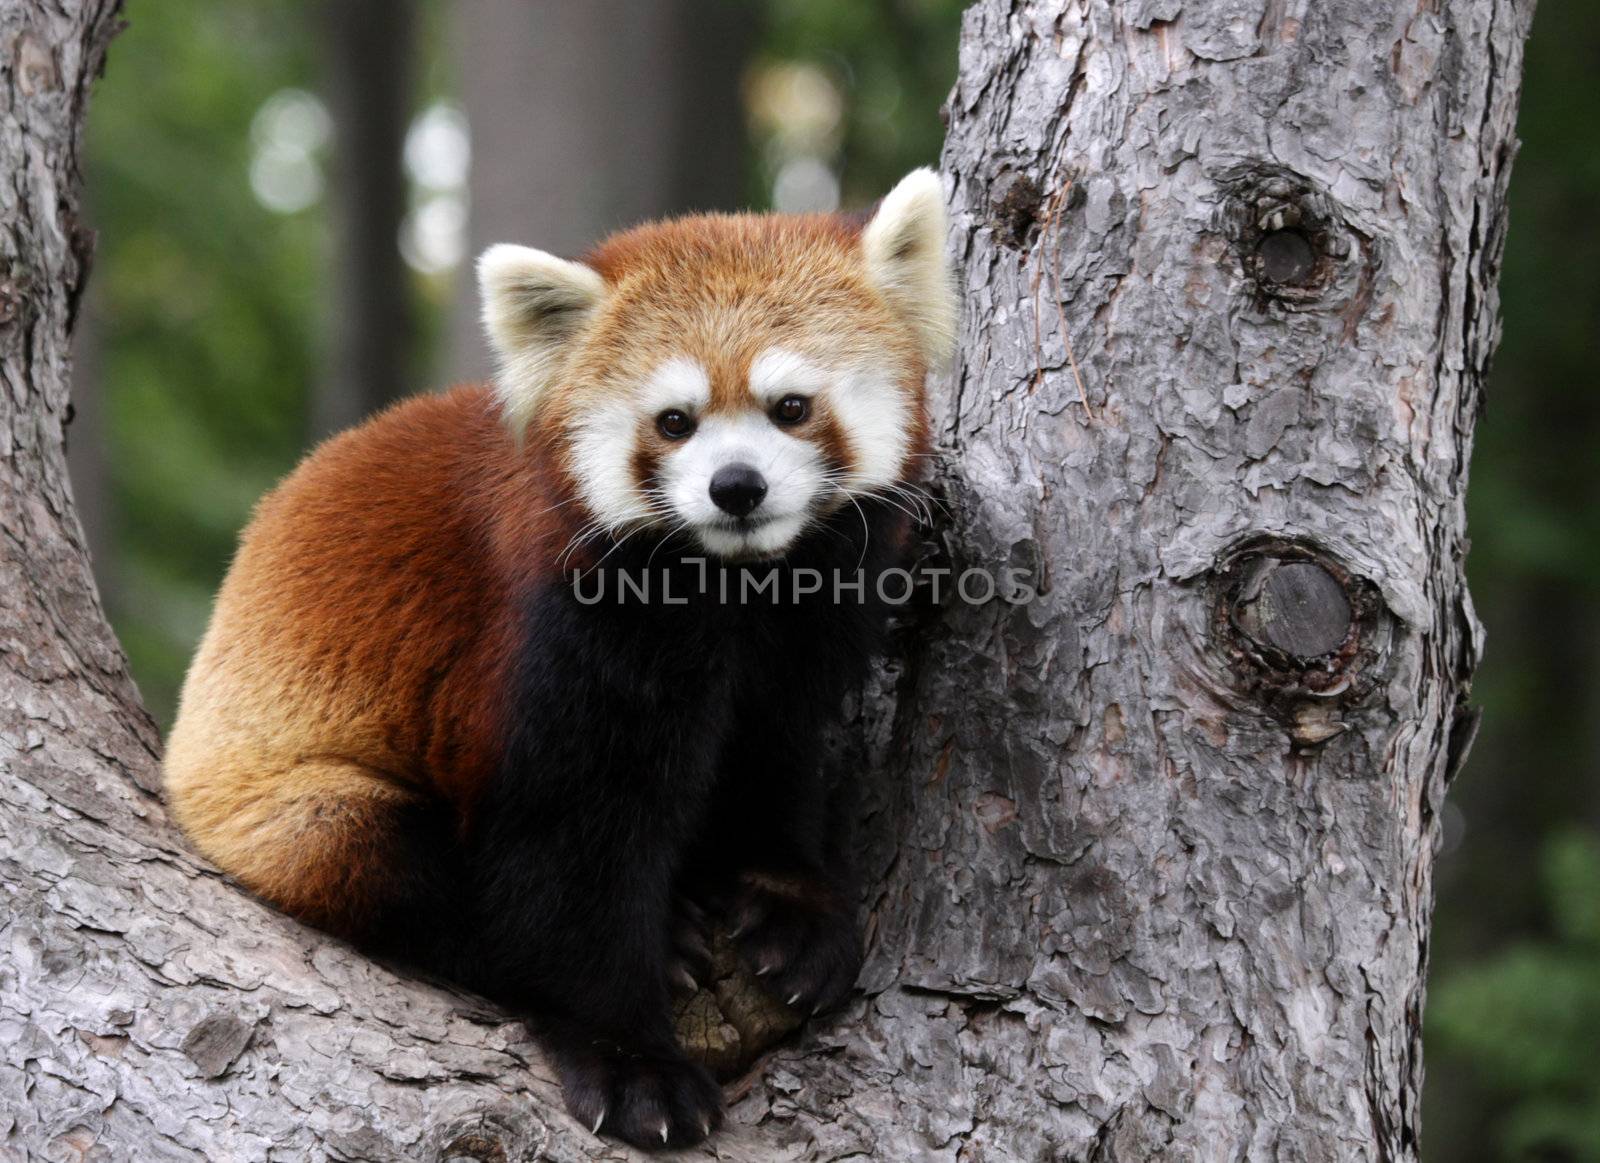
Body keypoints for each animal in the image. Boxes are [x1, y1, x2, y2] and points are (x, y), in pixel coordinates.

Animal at [165, 167, 947, 1151]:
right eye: (675, 422)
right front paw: (631, 1059)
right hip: (279, 799)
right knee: (379, 853)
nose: (736, 487)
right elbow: (568, 849)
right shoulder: (561, 629)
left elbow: (771, 751)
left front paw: (787, 901)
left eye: (792, 407)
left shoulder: (804, 621)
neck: (731, 586)